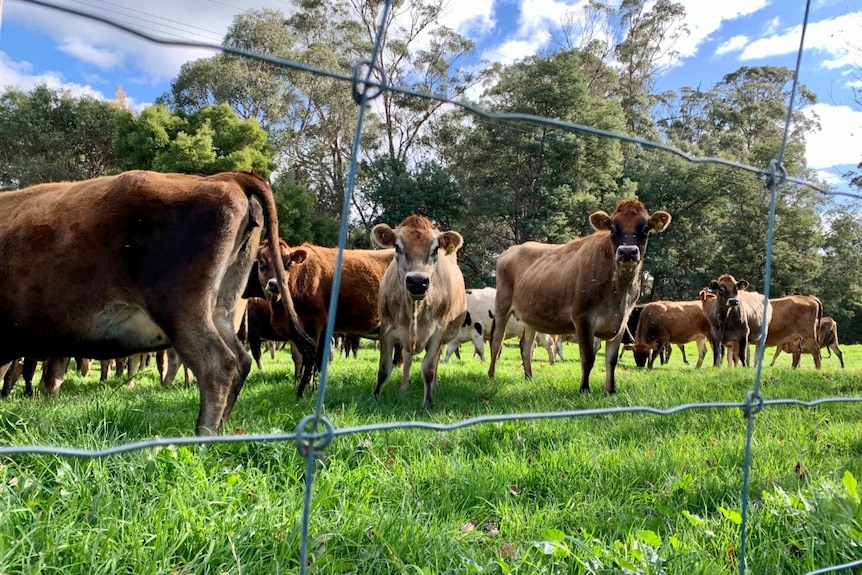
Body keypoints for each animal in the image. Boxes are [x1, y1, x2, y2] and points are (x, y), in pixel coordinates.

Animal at [0, 171, 314, 436]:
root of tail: (225, 177)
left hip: (183, 314)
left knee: (218, 364)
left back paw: (203, 436)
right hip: (219, 311)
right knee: (241, 360)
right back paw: (222, 427)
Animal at [253, 238, 394, 396]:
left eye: (289, 263)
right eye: (261, 262)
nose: (275, 285)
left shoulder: (314, 323)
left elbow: (311, 359)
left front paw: (304, 391)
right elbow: (309, 359)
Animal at [370, 214, 466, 408]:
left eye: (435, 249)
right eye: (397, 247)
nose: (417, 281)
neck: (415, 308)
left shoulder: (438, 331)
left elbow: (428, 368)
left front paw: (428, 402)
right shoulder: (386, 328)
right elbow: (384, 367)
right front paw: (376, 397)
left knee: (435, 361)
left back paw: (435, 385)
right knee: (407, 359)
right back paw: (404, 388)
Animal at [490, 200, 672, 394]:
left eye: (645, 228)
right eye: (612, 228)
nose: (628, 251)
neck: (618, 290)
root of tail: (512, 249)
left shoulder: (621, 321)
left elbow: (611, 359)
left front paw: (610, 390)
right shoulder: (583, 318)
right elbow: (588, 357)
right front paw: (584, 389)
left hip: (530, 316)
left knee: (526, 346)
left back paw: (529, 377)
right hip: (501, 306)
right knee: (497, 342)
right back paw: (491, 374)